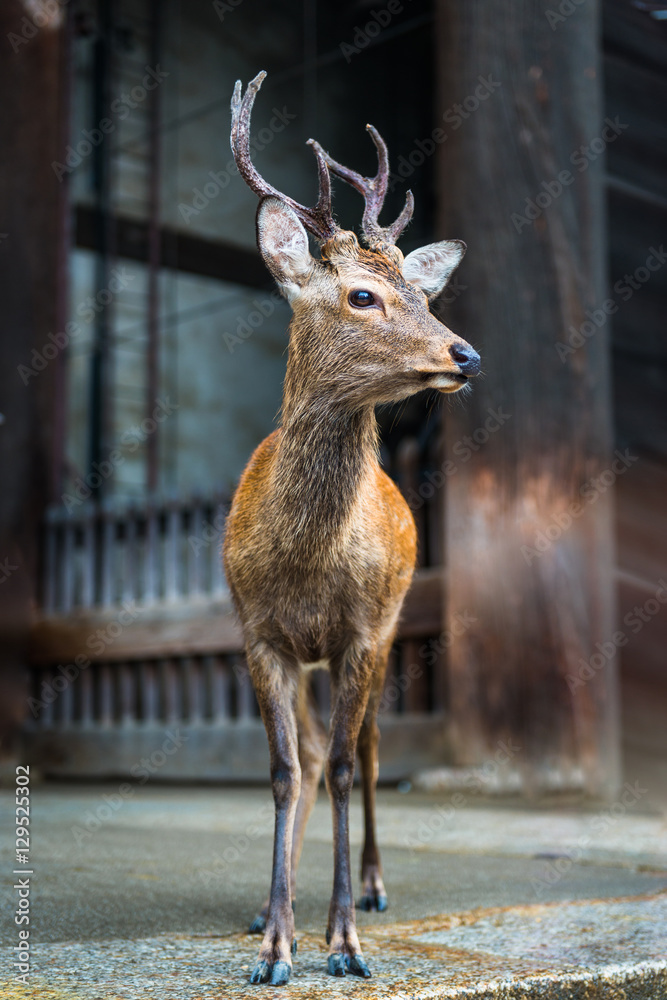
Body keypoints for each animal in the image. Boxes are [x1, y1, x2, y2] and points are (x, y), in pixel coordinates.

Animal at [224, 74, 480, 988]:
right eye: (361, 295)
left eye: (424, 295)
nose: (464, 354)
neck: (303, 561)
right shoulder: (259, 632)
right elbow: (282, 769)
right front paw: (275, 942)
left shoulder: (361, 629)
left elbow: (338, 765)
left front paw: (341, 942)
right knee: (305, 752)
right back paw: (272, 907)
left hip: (391, 622)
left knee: (364, 750)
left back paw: (370, 886)